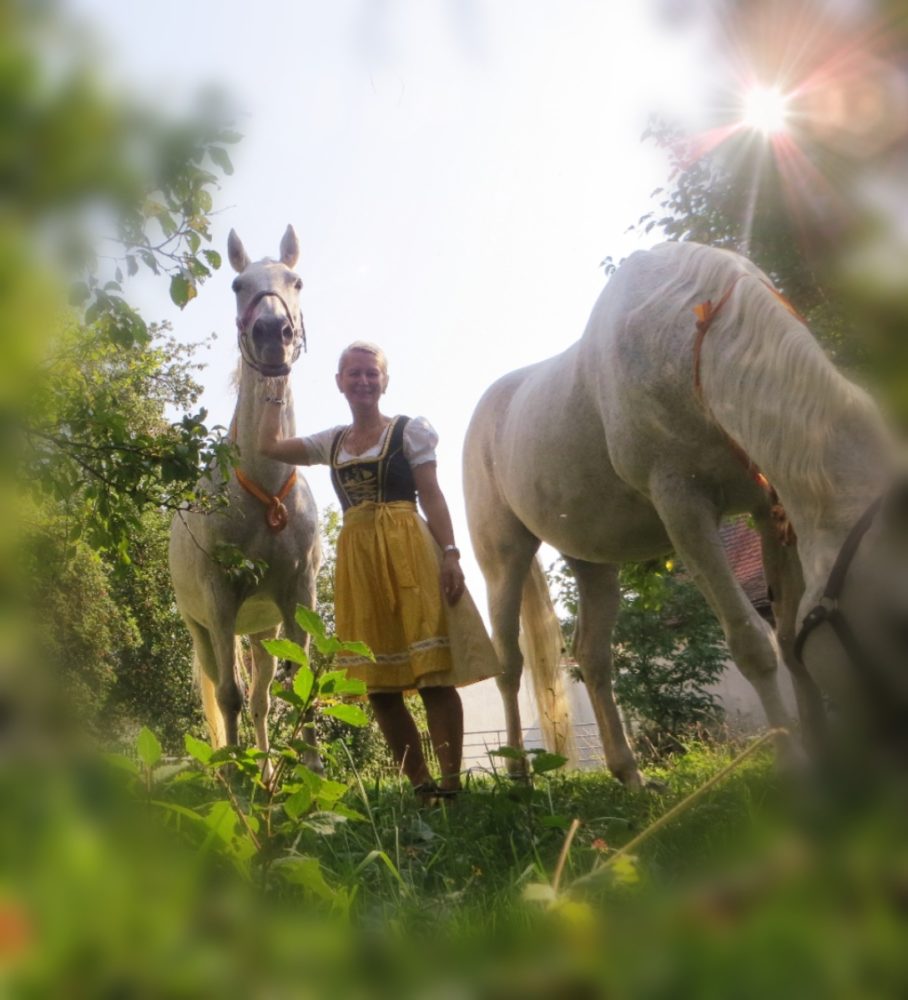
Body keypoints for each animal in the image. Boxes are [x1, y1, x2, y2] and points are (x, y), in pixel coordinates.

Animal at [168, 229, 320, 756]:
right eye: (238, 284)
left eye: (296, 281)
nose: (273, 332)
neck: (266, 491)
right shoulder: (219, 602)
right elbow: (227, 697)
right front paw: (234, 770)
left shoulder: (298, 596)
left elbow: (300, 685)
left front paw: (310, 770)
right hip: (202, 629)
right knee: (225, 691)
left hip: (263, 628)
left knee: (261, 702)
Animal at [464, 242, 904, 788]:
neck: (686, 338)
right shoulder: (684, 509)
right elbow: (752, 644)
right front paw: (796, 771)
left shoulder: (769, 510)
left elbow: (785, 637)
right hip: (503, 557)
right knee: (508, 663)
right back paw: (519, 774)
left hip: (593, 559)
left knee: (592, 655)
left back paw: (629, 775)